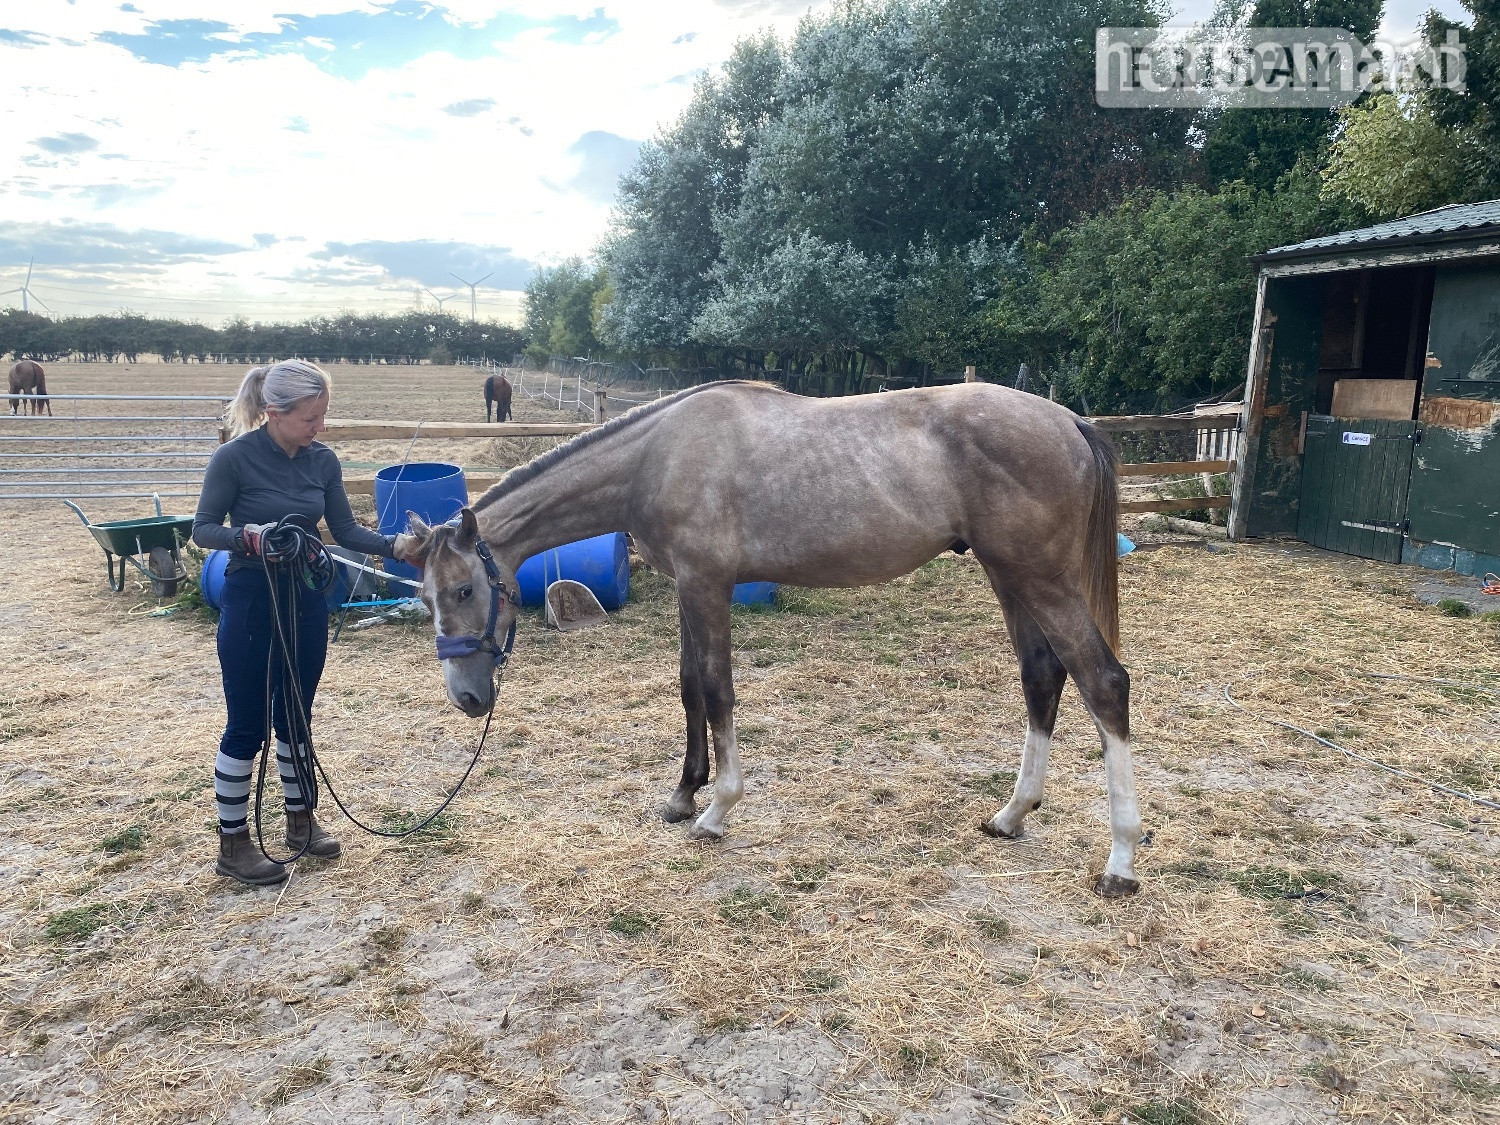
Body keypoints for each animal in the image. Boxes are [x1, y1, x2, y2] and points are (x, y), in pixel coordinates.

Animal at [402, 380, 1143, 897]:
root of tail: (1069, 422)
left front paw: (718, 808)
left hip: (1039, 578)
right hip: (1007, 575)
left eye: (464, 590)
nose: (467, 698)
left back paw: (1120, 860)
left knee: (1104, 682)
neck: (659, 455)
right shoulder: (688, 588)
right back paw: (1010, 814)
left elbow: (718, 690)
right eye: (424, 597)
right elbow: (688, 686)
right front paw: (684, 793)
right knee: (1043, 677)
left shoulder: (707, 585)